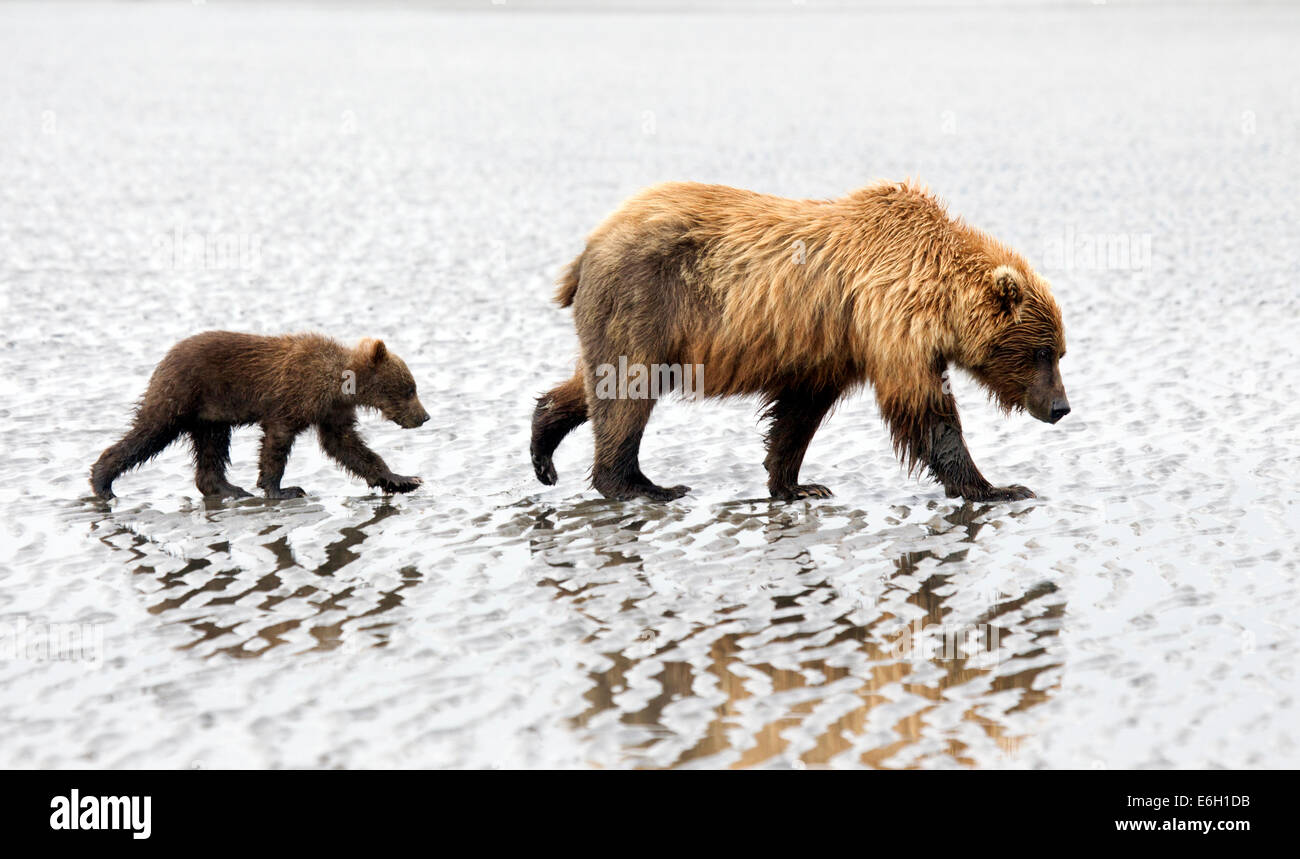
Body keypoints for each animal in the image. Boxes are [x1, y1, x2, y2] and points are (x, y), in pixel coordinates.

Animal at [527, 180, 1066, 501]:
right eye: (1043, 352)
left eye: (1059, 352)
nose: (1061, 407)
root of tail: (590, 245)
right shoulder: (890, 320)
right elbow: (925, 408)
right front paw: (997, 487)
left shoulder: (832, 346)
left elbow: (799, 413)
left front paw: (796, 484)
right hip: (647, 301)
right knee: (627, 389)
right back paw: (641, 486)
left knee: (597, 382)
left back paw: (544, 451)